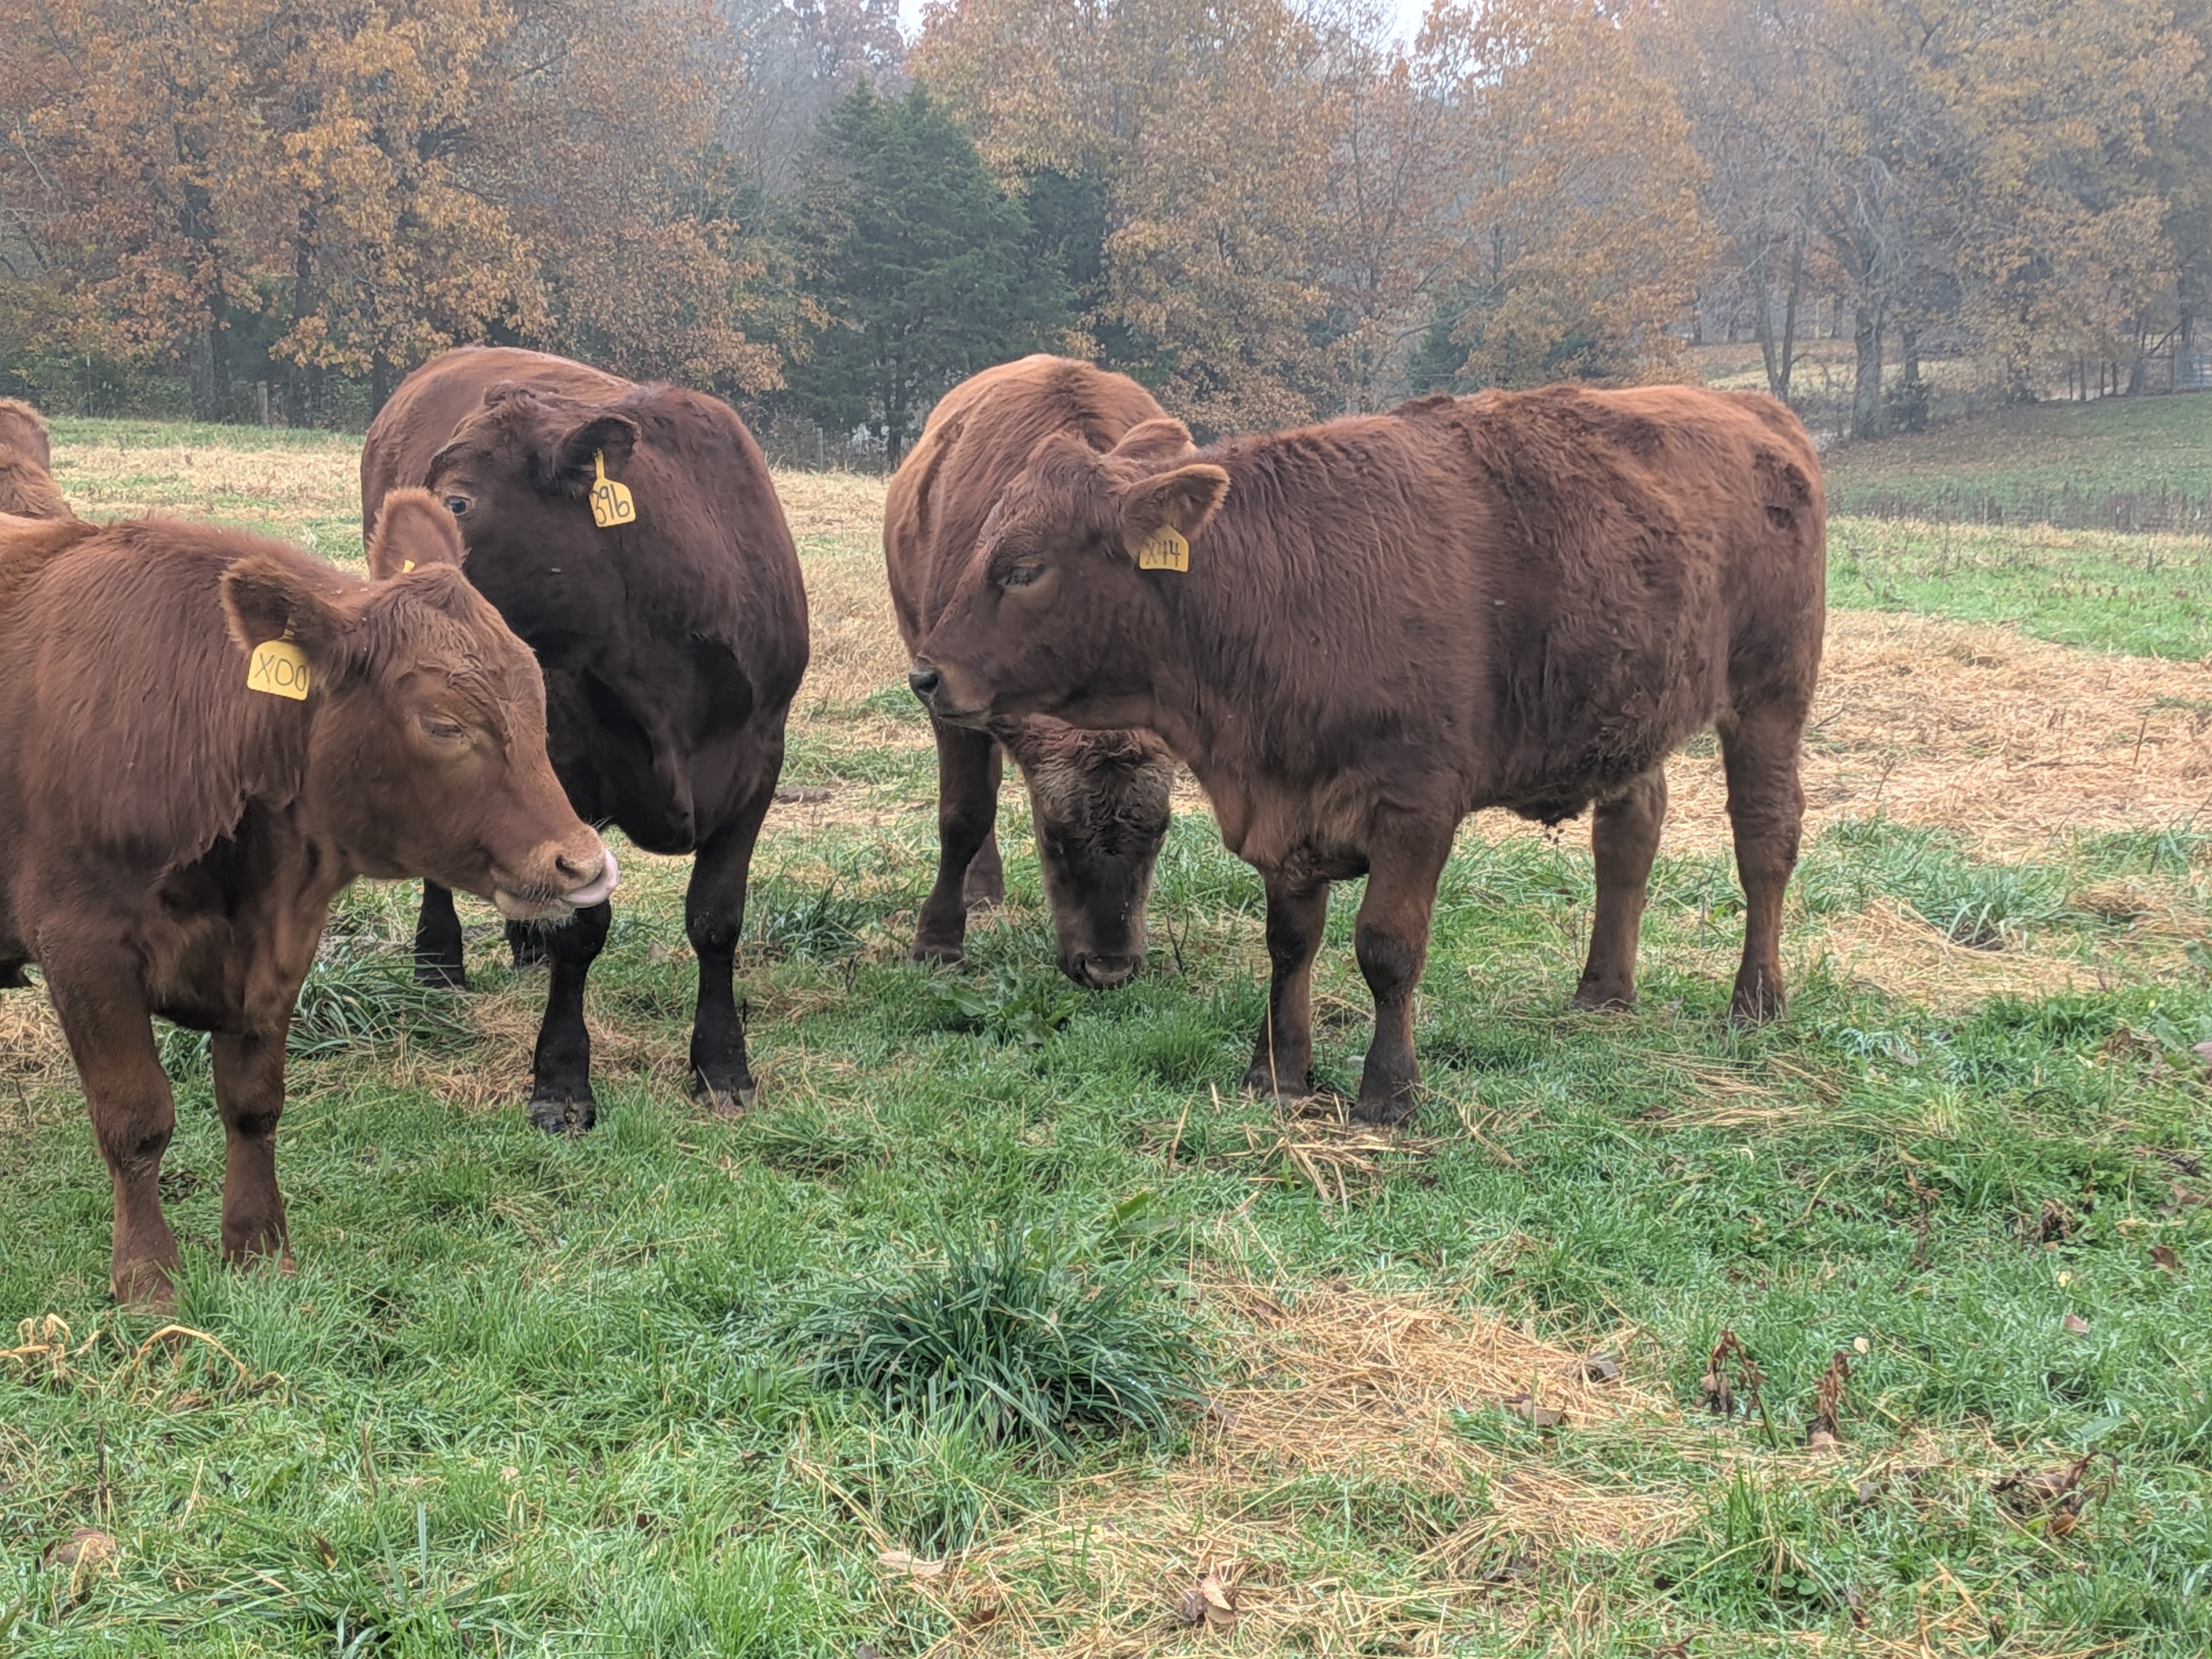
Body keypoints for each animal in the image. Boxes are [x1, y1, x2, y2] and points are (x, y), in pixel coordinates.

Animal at [0, 492, 614, 1308]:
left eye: (538, 698)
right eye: (444, 723)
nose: (582, 863)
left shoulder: (281, 945)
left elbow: (254, 1103)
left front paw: (260, 1253)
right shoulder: (82, 946)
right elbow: (136, 1120)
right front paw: (148, 1282)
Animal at [362, 348, 809, 1129]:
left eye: (458, 502)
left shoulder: (759, 763)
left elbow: (716, 918)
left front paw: (722, 1064)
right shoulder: (565, 764)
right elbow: (582, 929)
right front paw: (563, 1080)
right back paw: (439, 961)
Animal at [886, 357, 1175, 987]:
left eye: (1160, 833)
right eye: (1053, 837)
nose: (1108, 968)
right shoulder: (942, 688)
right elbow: (964, 814)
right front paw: (937, 940)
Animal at [907, 384, 1826, 1125]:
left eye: (1024, 568)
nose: (926, 672)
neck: (1280, 587)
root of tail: (1756, 410)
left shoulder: (1416, 810)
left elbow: (1387, 949)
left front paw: (1389, 1092)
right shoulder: (1287, 806)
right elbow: (1291, 942)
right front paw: (1277, 1071)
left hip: (1770, 703)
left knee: (1766, 842)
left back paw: (1756, 1000)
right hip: (1633, 722)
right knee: (1628, 841)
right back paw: (1603, 992)